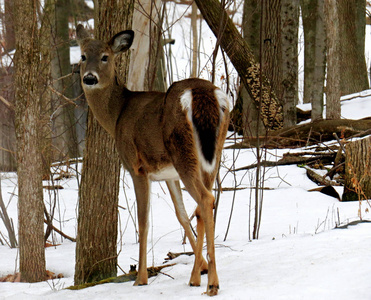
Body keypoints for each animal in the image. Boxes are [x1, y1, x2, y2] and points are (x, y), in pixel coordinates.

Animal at [76, 24, 230, 296]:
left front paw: (141, 278)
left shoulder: (137, 167)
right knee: (203, 206)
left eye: (105, 57)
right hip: (212, 152)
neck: (117, 116)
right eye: (83, 56)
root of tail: (201, 92)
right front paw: (200, 266)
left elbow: (144, 221)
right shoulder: (168, 174)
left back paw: (212, 283)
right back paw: (198, 277)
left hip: (182, 151)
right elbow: (181, 214)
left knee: (205, 199)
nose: (90, 78)